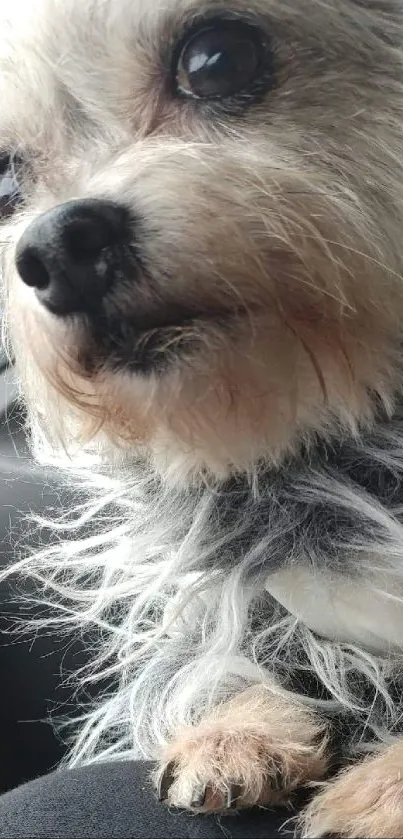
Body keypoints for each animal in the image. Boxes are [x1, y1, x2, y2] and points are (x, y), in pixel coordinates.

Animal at [2, 0, 403, 836]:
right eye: (2, 181)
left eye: (216, 59)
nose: (57, 246)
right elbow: (203, 642)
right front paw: (234, 727)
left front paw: (385, 786)